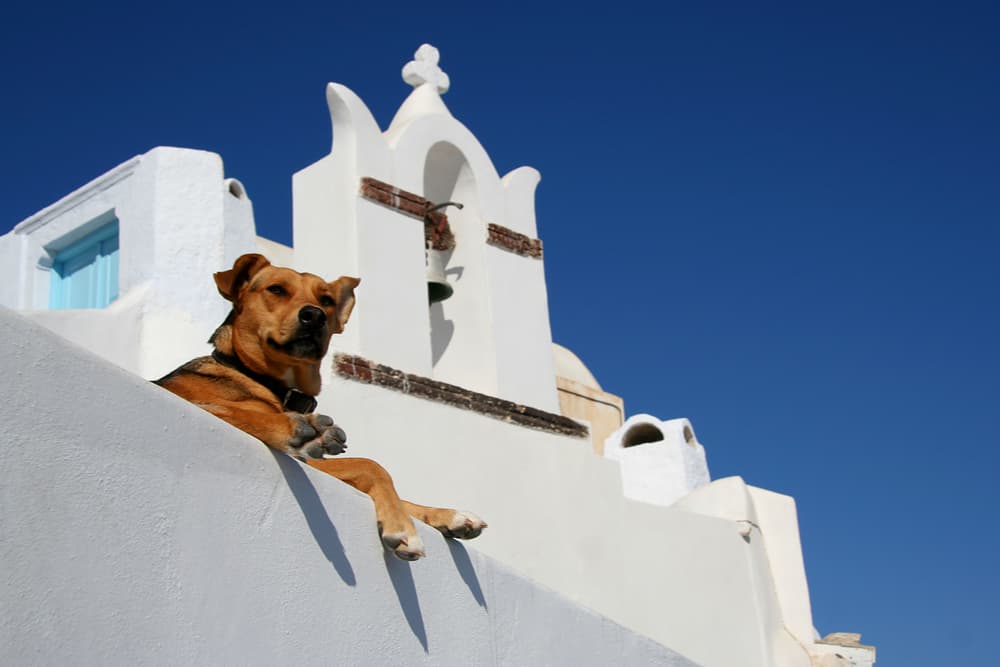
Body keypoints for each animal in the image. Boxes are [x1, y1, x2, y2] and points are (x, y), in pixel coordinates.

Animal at [154, 253, 486, 560]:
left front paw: (448, 516)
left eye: (326, 300)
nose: (314, 316)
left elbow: (397, 492)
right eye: (276, 289)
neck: (276, 384)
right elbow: (371, 465)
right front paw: (402, 528)